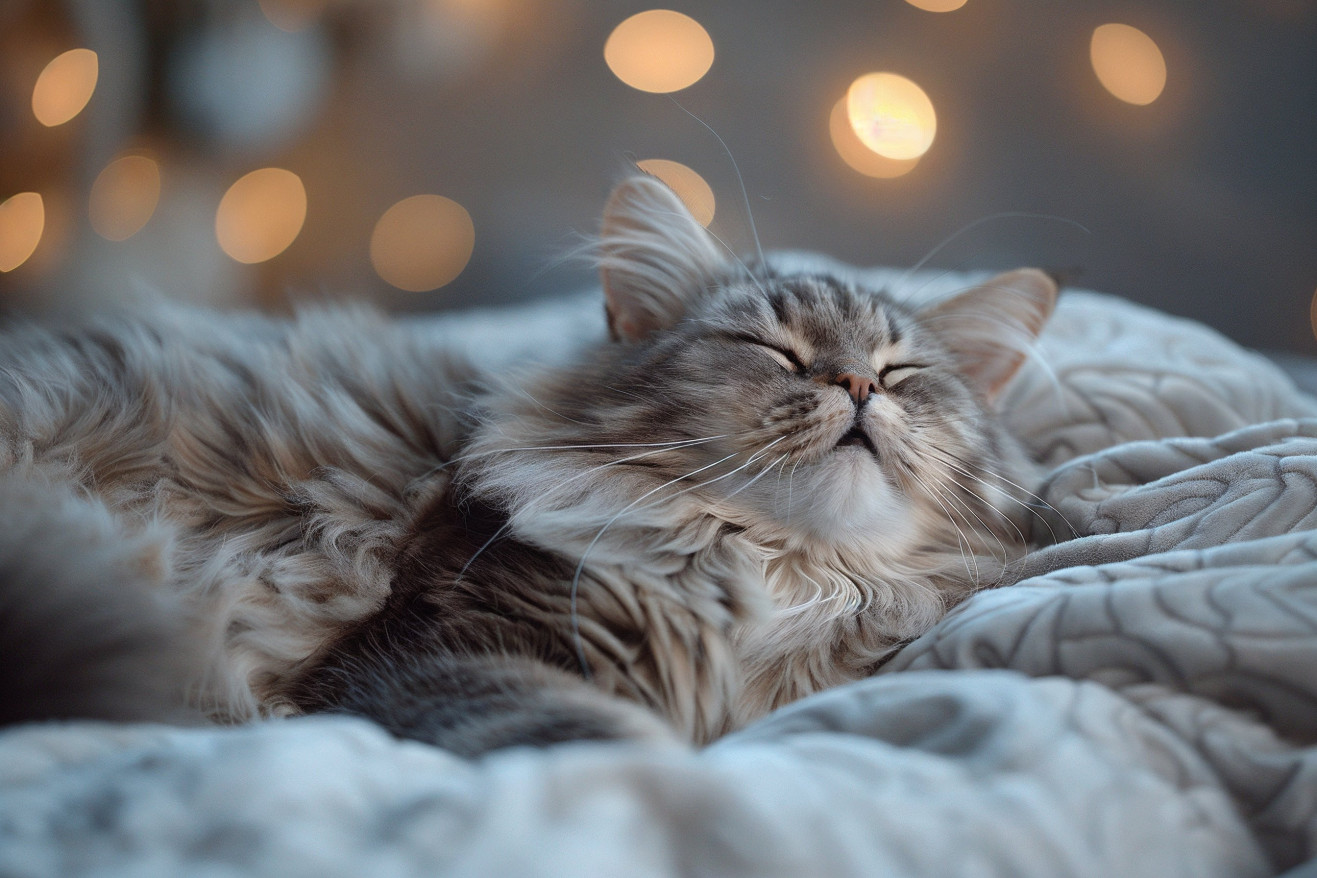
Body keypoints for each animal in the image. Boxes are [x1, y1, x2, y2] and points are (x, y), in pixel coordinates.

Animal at [0, 173, 1053, 758]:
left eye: (902, 373)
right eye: (774, 350)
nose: (857, 384)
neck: (778, 571)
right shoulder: (437, 653)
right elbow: (618, 750)